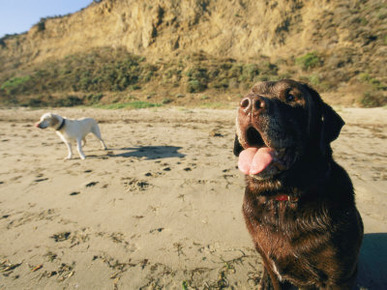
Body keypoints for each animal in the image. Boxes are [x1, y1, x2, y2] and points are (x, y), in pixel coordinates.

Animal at [235, 78, 366, 288]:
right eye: (251, 92)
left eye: (291, 97)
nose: (250, 103)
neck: (283, 198)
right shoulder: (271, 263)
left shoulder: (338, 278)